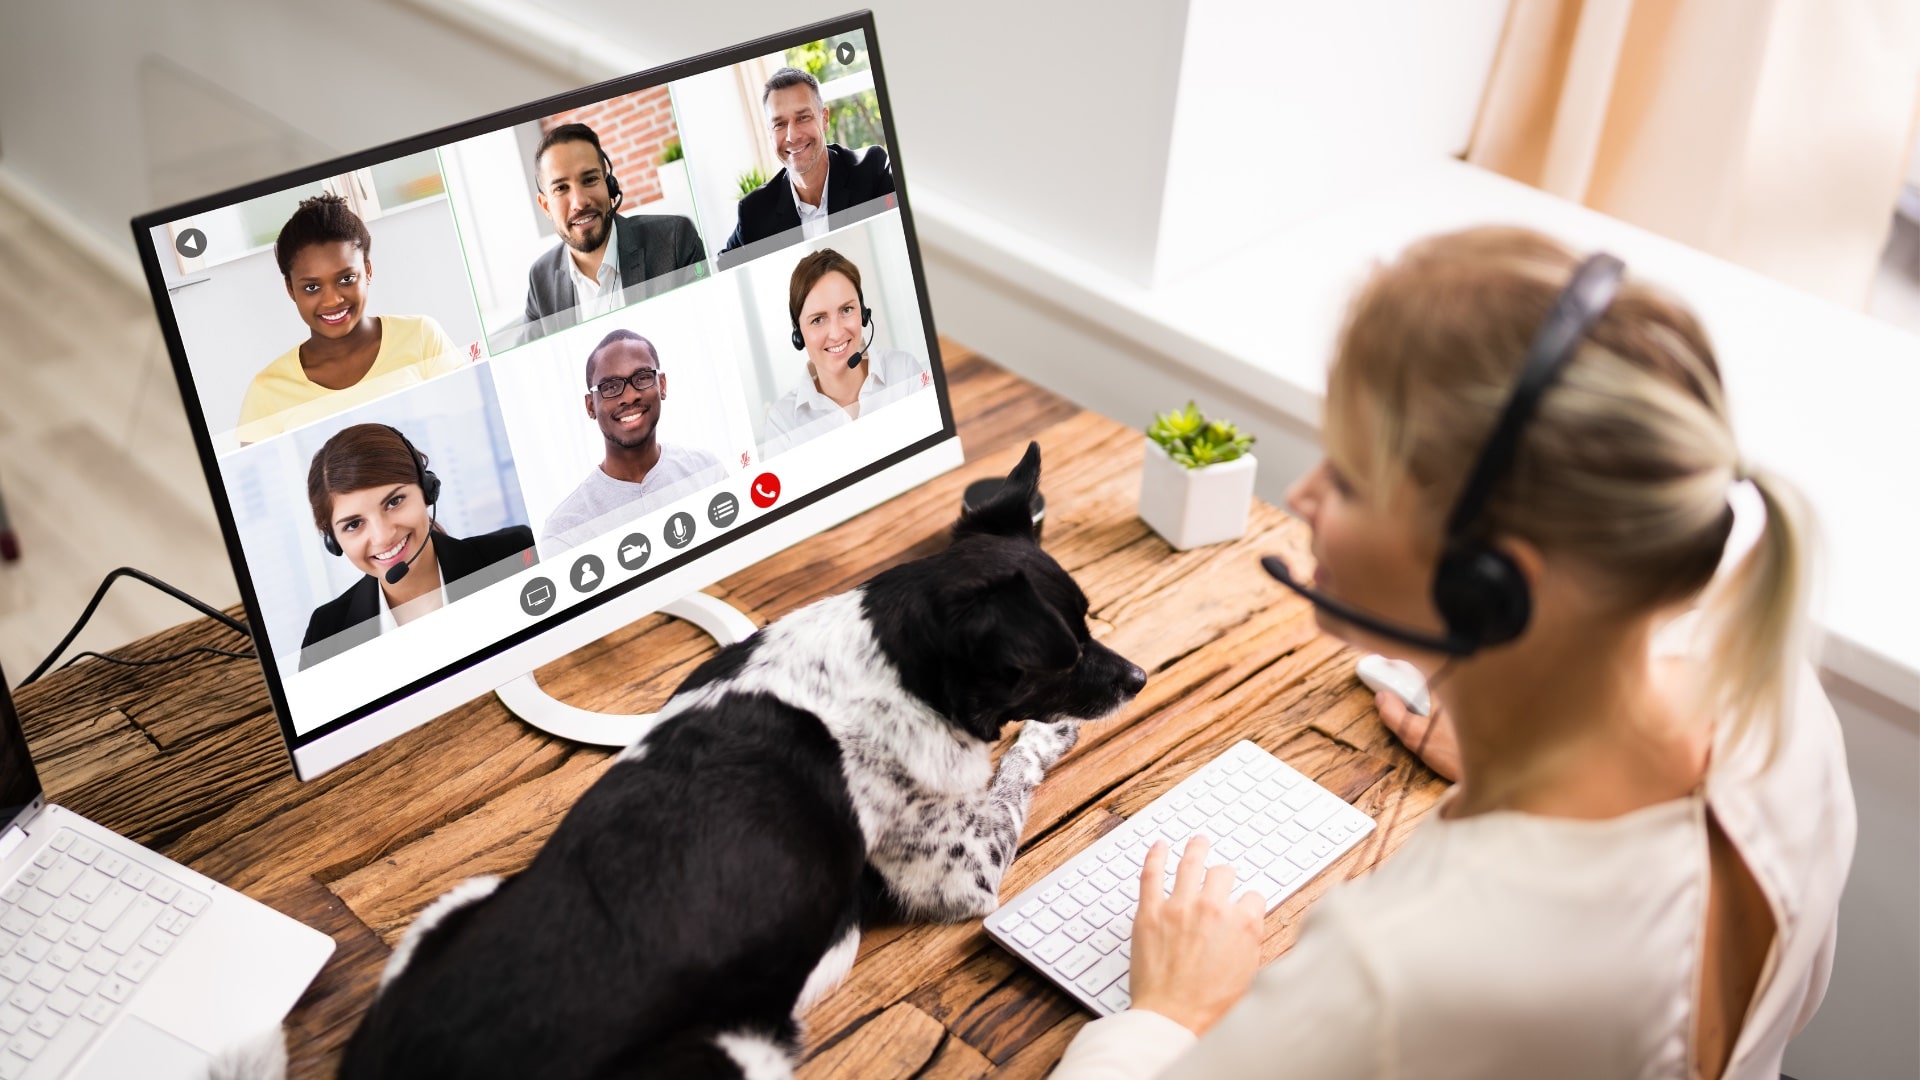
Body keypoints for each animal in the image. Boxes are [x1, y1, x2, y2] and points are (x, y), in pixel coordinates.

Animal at [339, 441, 1144, 1068]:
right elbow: (1012, 774)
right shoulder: (960, 868)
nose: (1139, 678)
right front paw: (1043, 737)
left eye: (1089, 623)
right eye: (1069, 653)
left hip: (463, 896)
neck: (891, 662)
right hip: (740, 1048)